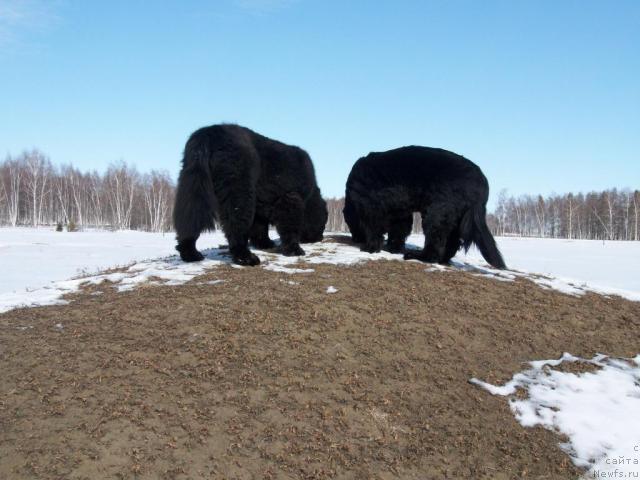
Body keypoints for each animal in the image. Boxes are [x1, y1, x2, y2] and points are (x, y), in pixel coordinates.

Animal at [174, 124, 324, 266]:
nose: (320, 237)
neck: (311, 197)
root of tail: (208, 133)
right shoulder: (290, 198)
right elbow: (289, 225)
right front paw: (294, 250)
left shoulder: (261, 204)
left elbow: (259, 227)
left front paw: (265, 244)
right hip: (238, 189)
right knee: (236, 225)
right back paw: (246, 257)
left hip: (192, 184)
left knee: (189, 220)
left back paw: (191, 254)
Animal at [342, 144, 508, 268]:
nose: (355, 239)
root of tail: (482, 182)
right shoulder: (400, 212)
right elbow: (398, 231)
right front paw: (393, 248)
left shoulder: (370, 207)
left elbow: (373, 228)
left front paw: (370, 247)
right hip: (454, 216)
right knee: (451, 243)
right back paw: (442, 259)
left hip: (437, 212)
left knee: (435, 244)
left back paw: (417, 256)